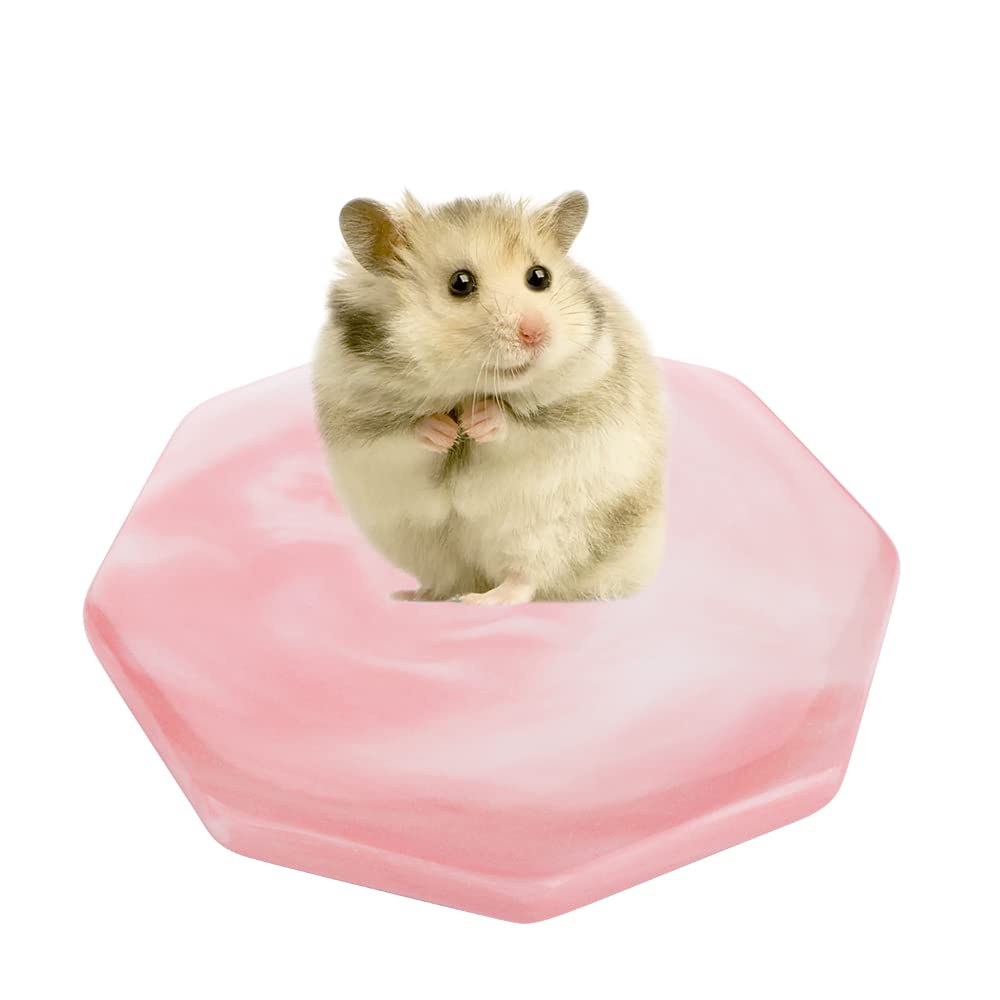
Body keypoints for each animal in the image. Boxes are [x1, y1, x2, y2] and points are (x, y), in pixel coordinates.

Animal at [312, 190, 668, 604]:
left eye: (539, 276)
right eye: (460, 283)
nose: (535, 333)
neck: (466, 388)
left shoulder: (577, 406)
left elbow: (519, 426)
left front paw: (475, 421)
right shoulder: (360, 423)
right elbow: (405, 434)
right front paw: (445, 431)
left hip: (550, 533)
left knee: (526, 578)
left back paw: (483, 600)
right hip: (422, 544)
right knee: (447, 578)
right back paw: (415, 595)